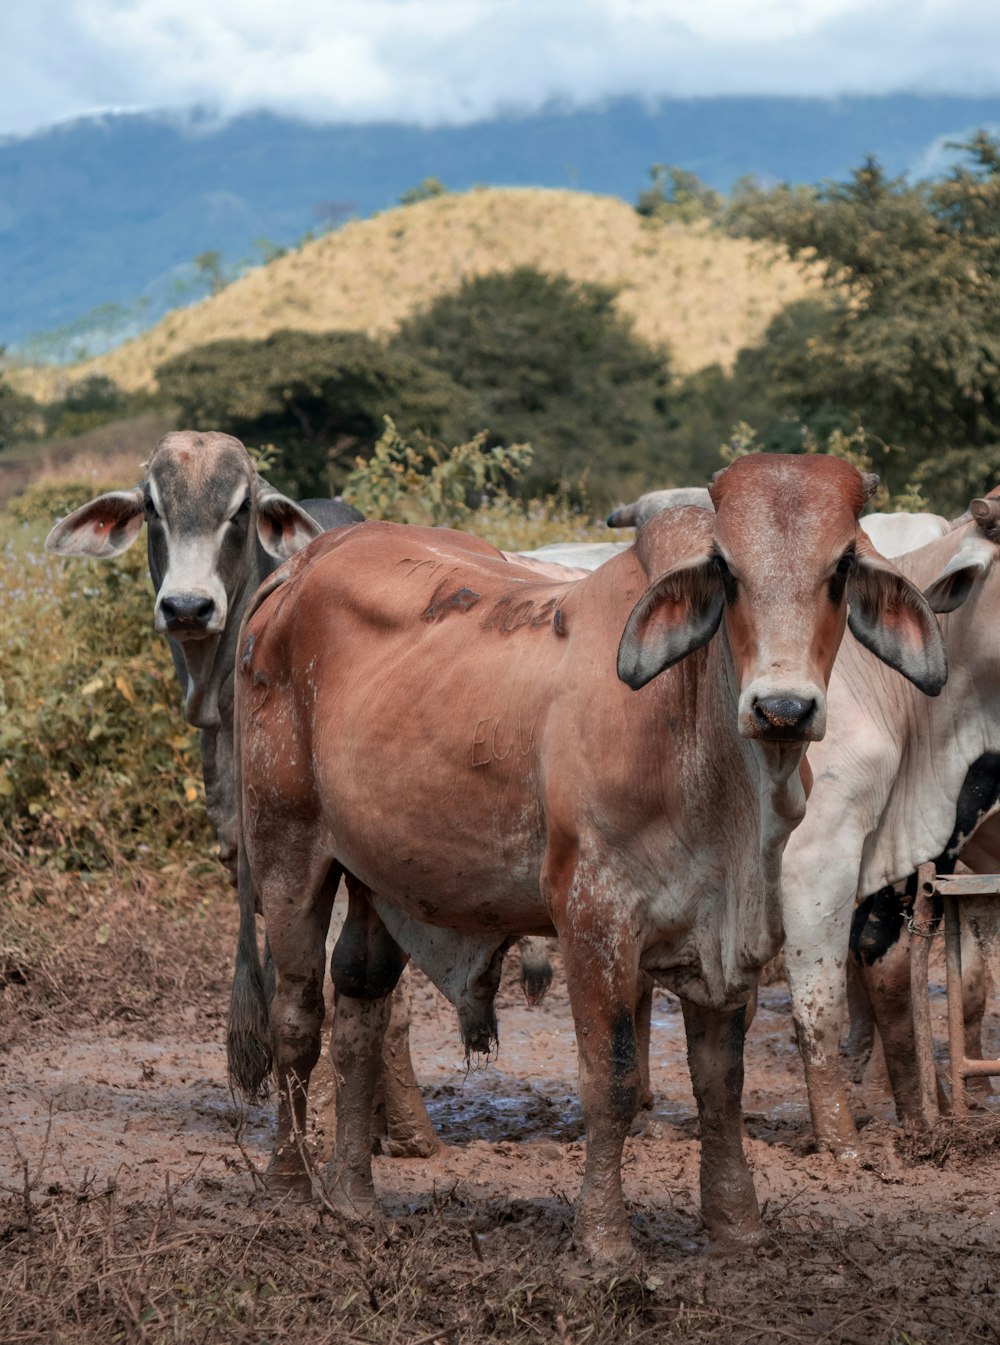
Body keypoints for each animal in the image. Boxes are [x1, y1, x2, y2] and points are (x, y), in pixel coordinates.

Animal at [227, 454, 947, 1258]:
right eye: (727, 570)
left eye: (841, 566)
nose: (782, 708)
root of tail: (301, 566)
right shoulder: (592, 915)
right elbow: (611, 1075)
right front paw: (604, 1240)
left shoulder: (728, 929)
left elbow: (719, 1080)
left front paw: (737, 1224)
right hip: (288, 848)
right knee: (298, 1015)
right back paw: (290, 1191)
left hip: (378, 874)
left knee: (361, 1006)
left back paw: (354, 1198)